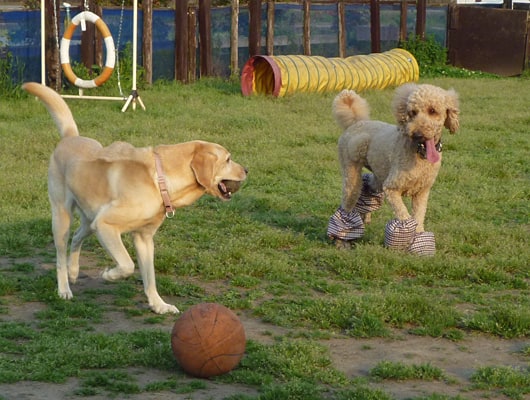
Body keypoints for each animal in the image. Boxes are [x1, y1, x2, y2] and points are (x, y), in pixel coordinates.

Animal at [23, 82, 246, 312]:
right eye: (228, 159)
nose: (247, 170)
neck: (159, 179)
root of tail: (70, 137)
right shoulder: (106, 226)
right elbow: (127, 265)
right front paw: (109, 275)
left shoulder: (144, 238)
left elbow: (150, 277)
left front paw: (159, 305)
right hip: (63, 217)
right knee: (60, 256)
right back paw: (64, 289)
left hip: (89, 221)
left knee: (76, 237)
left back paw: (74, 271)